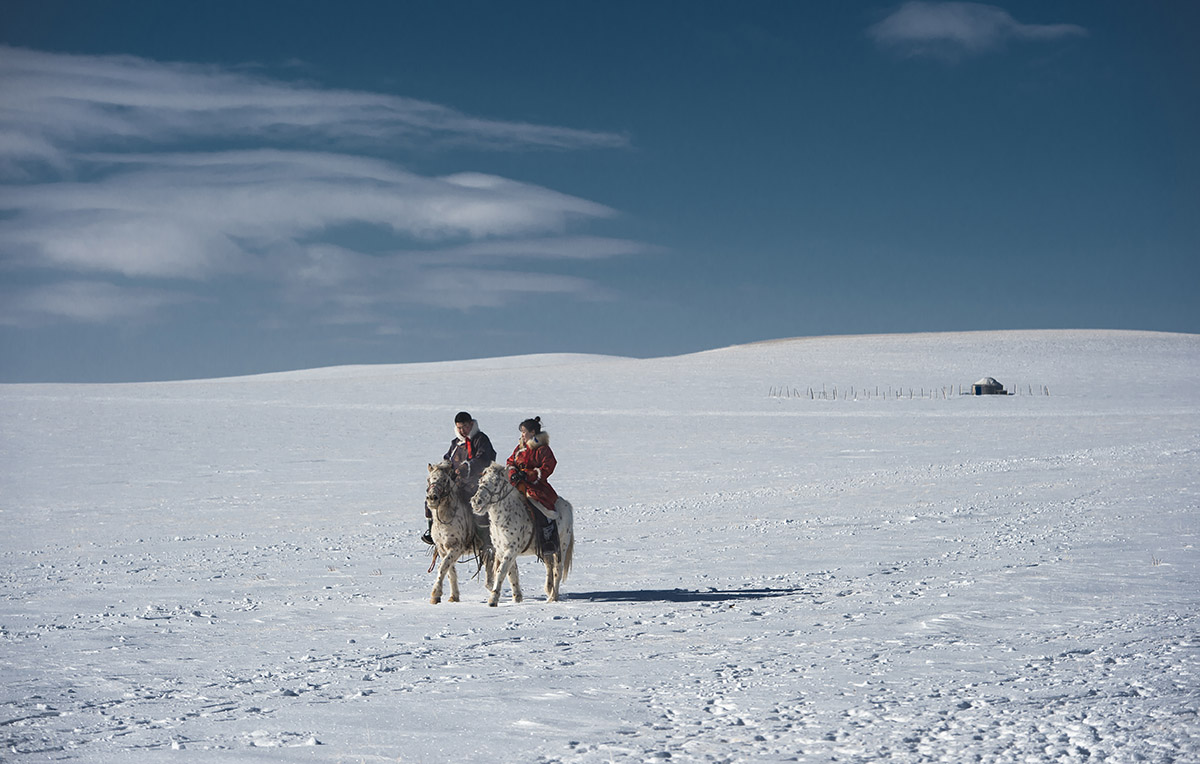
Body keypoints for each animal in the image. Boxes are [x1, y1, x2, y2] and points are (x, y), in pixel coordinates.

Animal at [427, 458, 492, 602]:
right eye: (429, 479)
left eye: (444, 480)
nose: (432, 498)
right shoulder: (442, 549)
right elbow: (450, 570)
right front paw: (453, 596)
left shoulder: (456, 547)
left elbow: (443, 566)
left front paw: (435, 594)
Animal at [470, 462, 573, 604]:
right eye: (481, 481)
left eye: (496, 482)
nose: (476, 502)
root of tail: (567, 505)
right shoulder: (502, 551)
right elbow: (511, 573)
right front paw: (517, 598)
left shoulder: (511, 550)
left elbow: (501, 571)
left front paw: (493, 599)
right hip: (546, 550)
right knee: (549, 566)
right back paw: (548, 590)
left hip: (561, 546)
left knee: (558, 569)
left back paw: (553, 597)